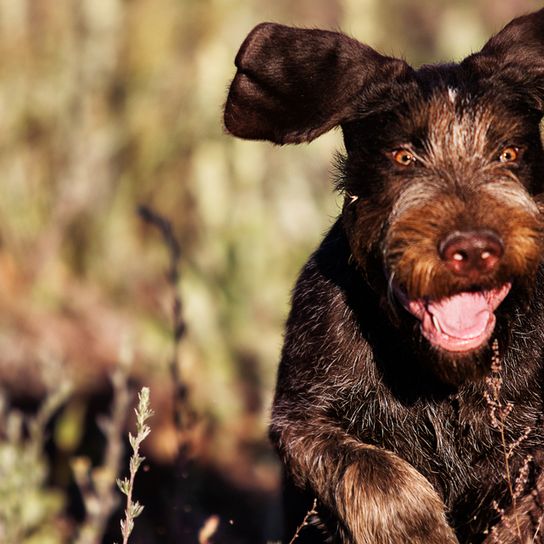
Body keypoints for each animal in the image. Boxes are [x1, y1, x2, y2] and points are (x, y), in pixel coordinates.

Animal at [224, 8, 544, 544]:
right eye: (402, 157)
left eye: (509, 154)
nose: (473, 249)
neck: (439, 377)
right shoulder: (303, 422)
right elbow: (381, 477)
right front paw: (424, 533)